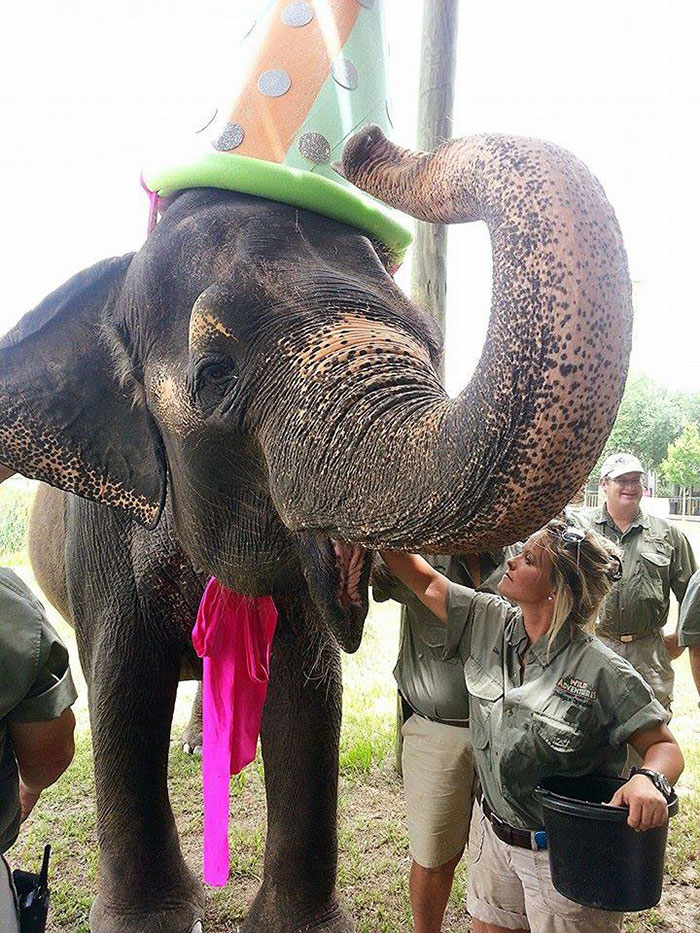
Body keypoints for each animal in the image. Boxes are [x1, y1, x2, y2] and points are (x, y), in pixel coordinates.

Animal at [0, 128, 632, 933]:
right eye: (213, 372)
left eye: (432, 346)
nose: (367, 144)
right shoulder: (103, 541)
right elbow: (122, 692)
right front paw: (150, 920)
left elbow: (307, 702)